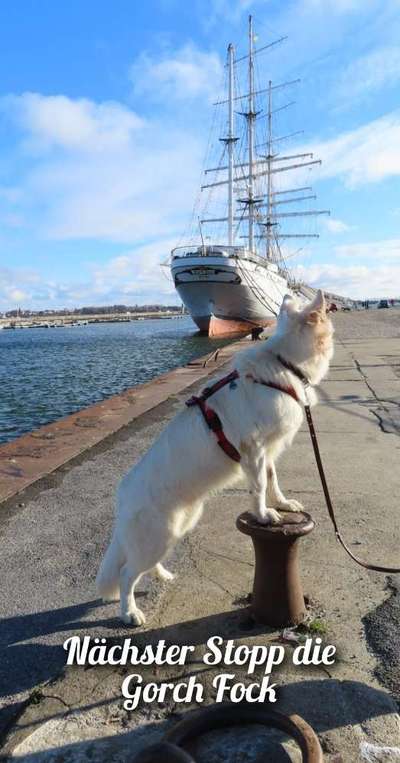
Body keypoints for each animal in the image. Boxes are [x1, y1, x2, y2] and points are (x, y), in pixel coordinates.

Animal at [97, 292, 334, 628]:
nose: (328, 300)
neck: (283, 363)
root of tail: (123, 494)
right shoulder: (254, 448)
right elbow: (259, 487)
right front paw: (264, 514)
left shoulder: (268, 450)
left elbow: (273, 479)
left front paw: (283, 504)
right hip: (157, 533)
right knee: (127, 573)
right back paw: (130, 612)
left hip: (175, 527)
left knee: (142, 564)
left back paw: (163, 575)